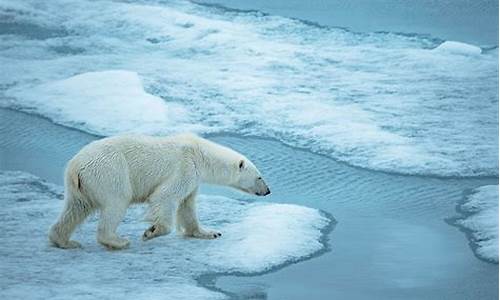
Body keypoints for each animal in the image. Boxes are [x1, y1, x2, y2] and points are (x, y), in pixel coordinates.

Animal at [48, 133, 272, 248]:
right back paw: (118, 241)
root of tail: (75, 166)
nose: (268, 191)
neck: (200, 154)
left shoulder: (193, 179)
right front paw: (152, 231)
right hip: (109, 172)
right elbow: (165, 196)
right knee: (117, 202)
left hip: (83, 185)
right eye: (259, 176)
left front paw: (210, 232)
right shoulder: (185, 167)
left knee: (75, 208)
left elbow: (187, 206)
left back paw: (65, 241)